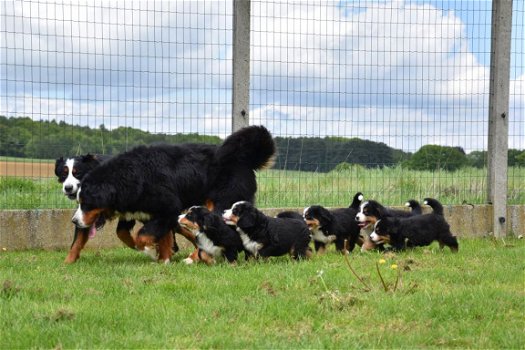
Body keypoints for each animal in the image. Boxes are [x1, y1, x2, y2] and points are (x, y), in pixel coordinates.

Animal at [69, 124, 274, 264]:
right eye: (79, 202)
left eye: (86, 203)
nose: (74, 221)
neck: (134, 176)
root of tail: (244, 159)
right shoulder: (146, 213)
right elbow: (158, 237)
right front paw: (164, 259)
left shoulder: (168, 208)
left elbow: (144, 235)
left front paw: (150, 251)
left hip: (222, 203)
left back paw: (194, 258)